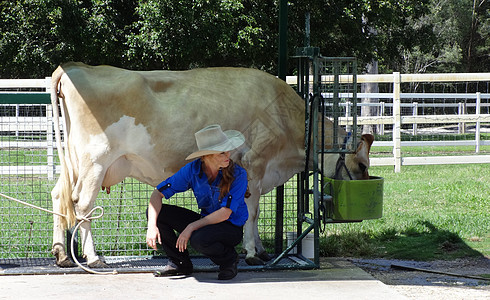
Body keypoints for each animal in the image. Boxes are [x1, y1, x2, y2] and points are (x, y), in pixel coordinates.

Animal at [49, 62, 374, 268]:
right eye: (360, 165)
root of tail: (74, 67)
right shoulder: (256, 162)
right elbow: (251, 213)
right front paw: (252, 253)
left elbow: (251, 210)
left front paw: (261, 250)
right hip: (95, 159)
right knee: (83, 205)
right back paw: (92, 258)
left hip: (75, 161)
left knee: (58, 196)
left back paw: (62, 254)